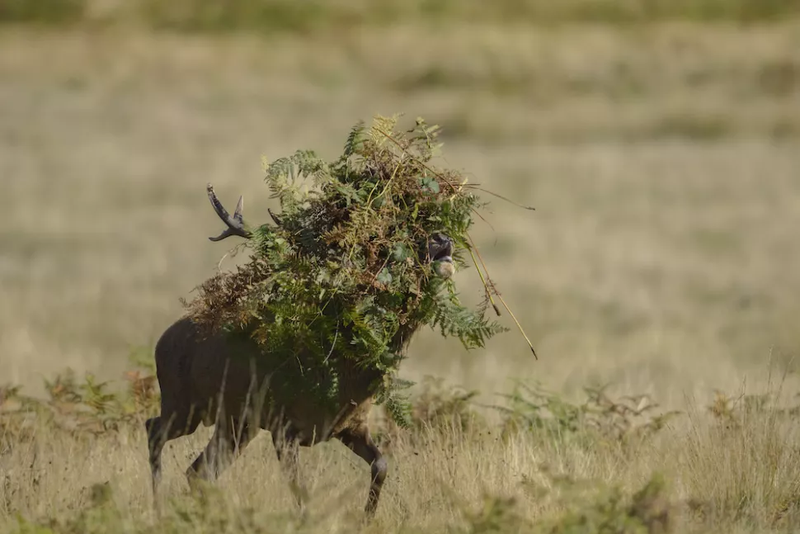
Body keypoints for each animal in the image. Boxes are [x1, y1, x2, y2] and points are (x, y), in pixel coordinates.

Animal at [145, 184, 456, 520]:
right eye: (390, 246)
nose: (443, 238)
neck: (341, 373)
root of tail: (161, 342)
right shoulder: (283, 426)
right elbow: (302, 495)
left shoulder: (350, 425)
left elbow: (382, 465)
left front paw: (367, 518)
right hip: (184, 403)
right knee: (154, 431)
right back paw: (158, 508)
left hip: (235, 422)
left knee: (197, 471)